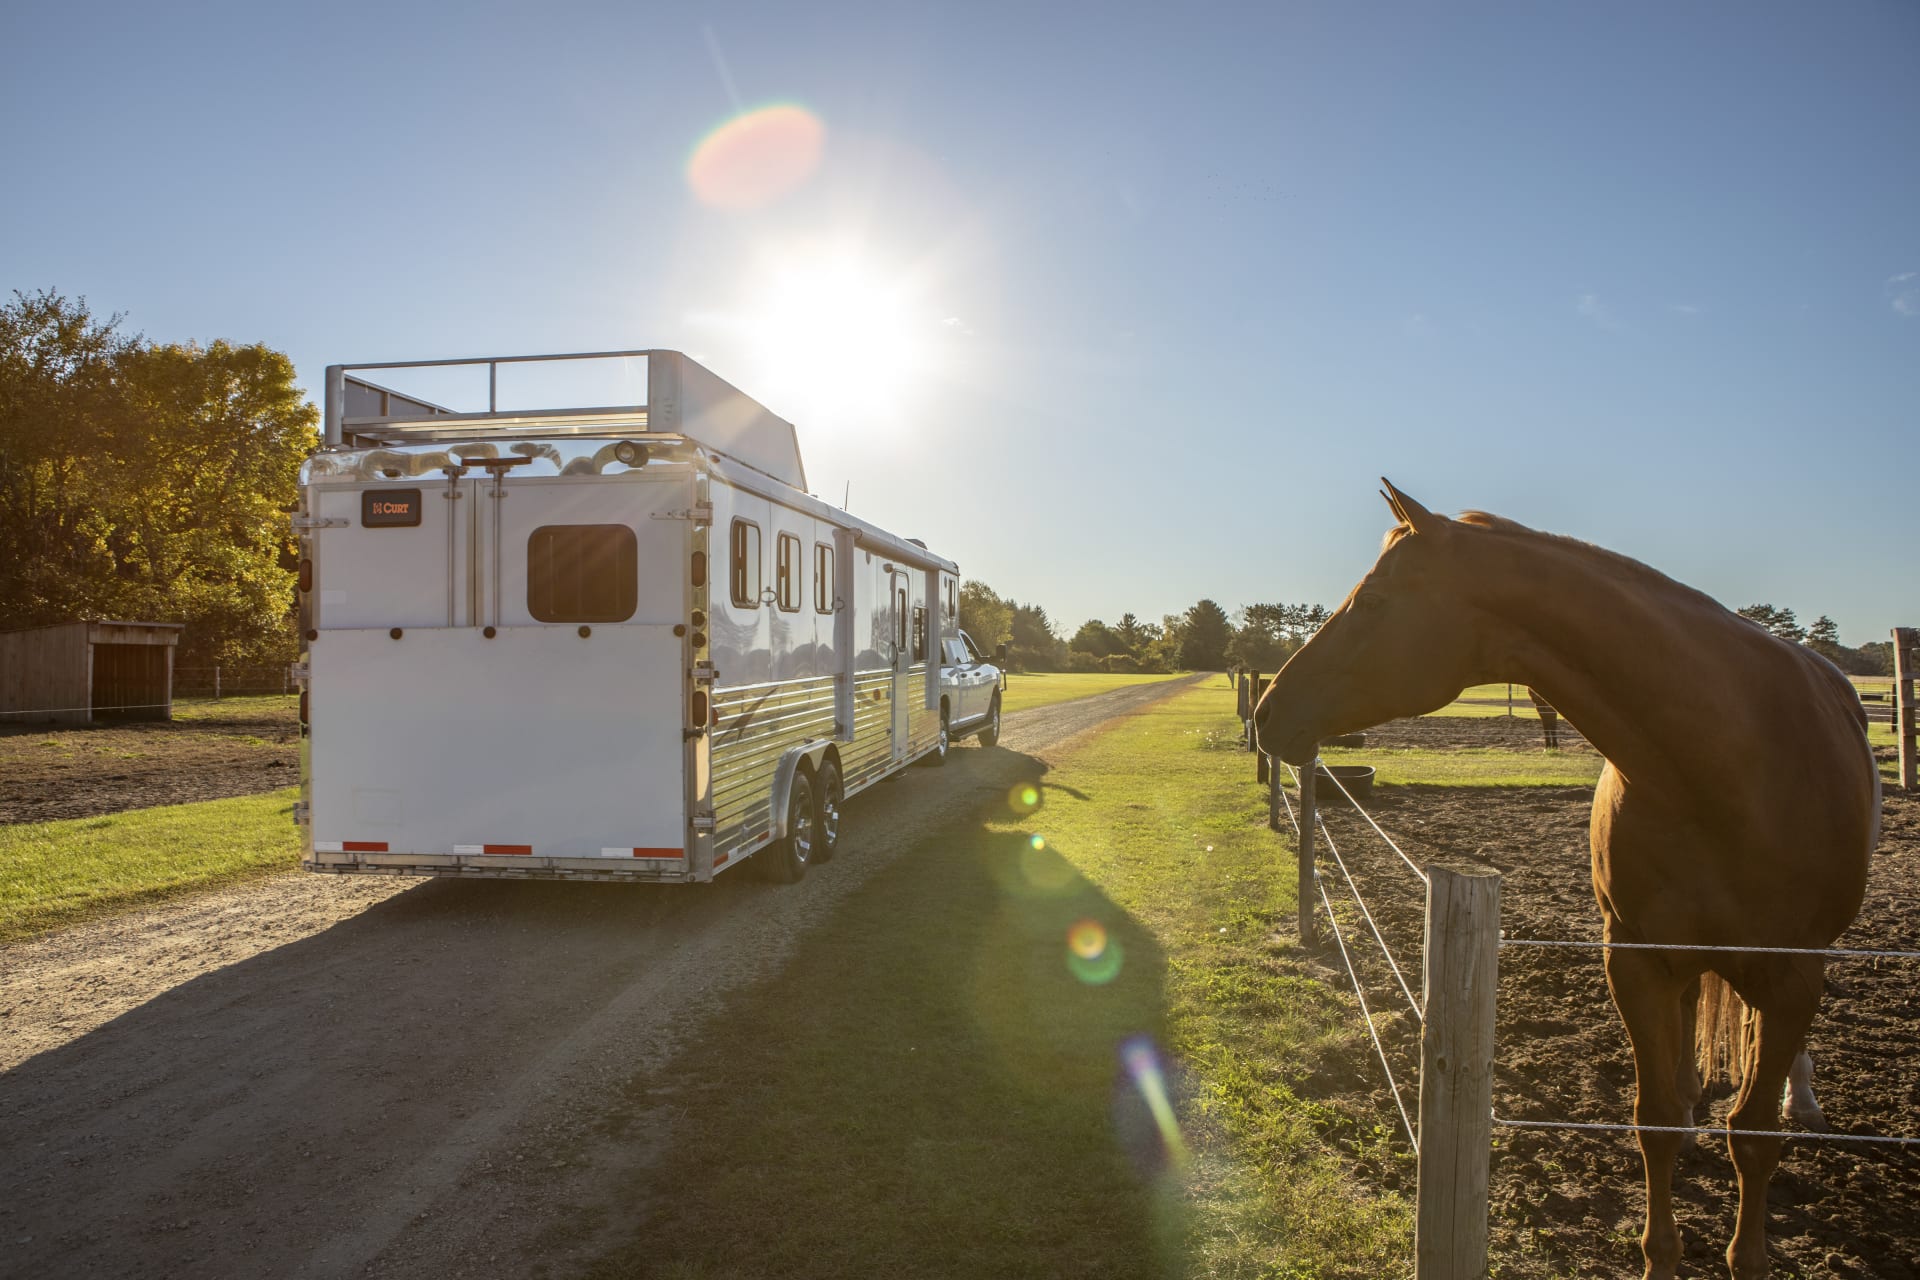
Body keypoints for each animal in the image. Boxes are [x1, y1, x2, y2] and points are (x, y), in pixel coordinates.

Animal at [1259, 483, 1873, 1280]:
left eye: (1374, 601)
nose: (1268, 712)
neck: (1731, 763)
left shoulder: (1793, 973)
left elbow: (1755, 1135)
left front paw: (1749, 1251)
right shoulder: (1634, 960)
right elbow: (1654, 1121)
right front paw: (1662, 1254)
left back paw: (1802, 1099)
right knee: (1683, 1048)